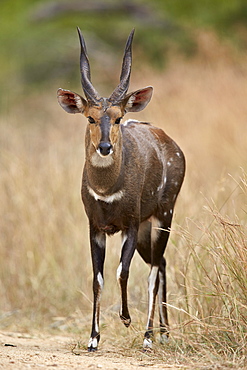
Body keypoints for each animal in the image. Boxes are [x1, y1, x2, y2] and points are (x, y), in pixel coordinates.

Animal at [57, 27, 185, 352]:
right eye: (90, 117)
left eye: (117, 118)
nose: (105, 147)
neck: (106, 190)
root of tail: (172, 145)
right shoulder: (95, 227)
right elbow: (97, 278)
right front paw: (93, 338)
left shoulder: (129, 224)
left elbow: (122, 271)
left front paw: (126, 319)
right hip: (147, 231)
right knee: (161, 263)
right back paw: (164, 332)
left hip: (163, 216)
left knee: (154, 271)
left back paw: (149, 336)